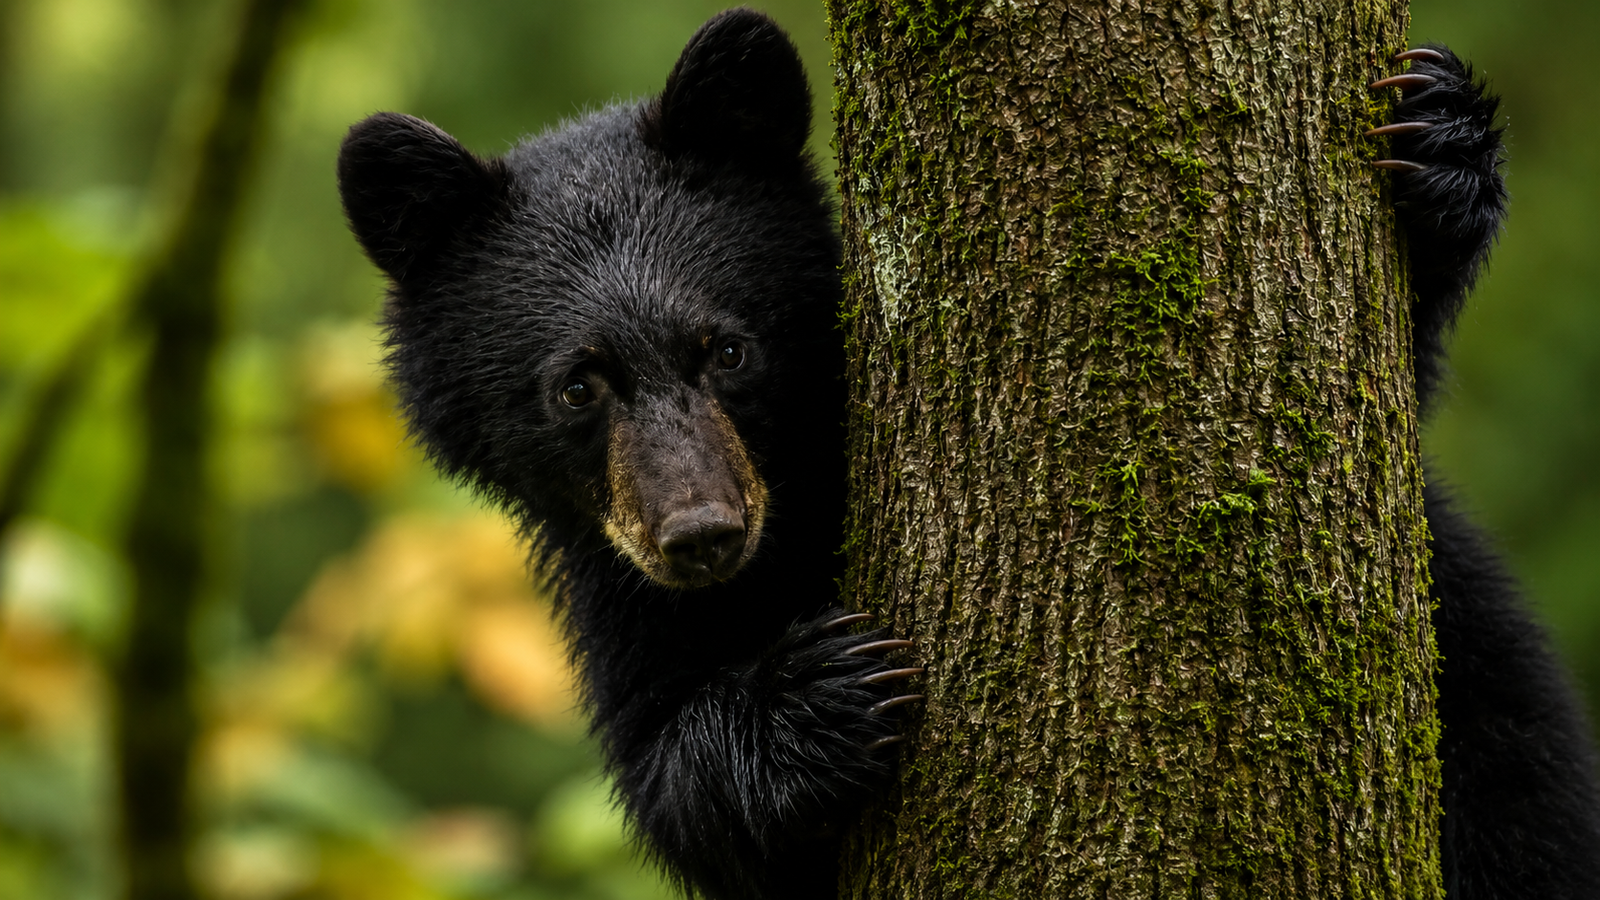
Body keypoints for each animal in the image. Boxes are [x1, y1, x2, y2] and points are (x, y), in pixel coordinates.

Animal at [335, 9, 1600, 900]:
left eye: (727, 348)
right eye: (577, 385)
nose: (701, 535)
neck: (793, 514)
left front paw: (1437, 139)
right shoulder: (618, 589)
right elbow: (672, 787)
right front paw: (815, 697)